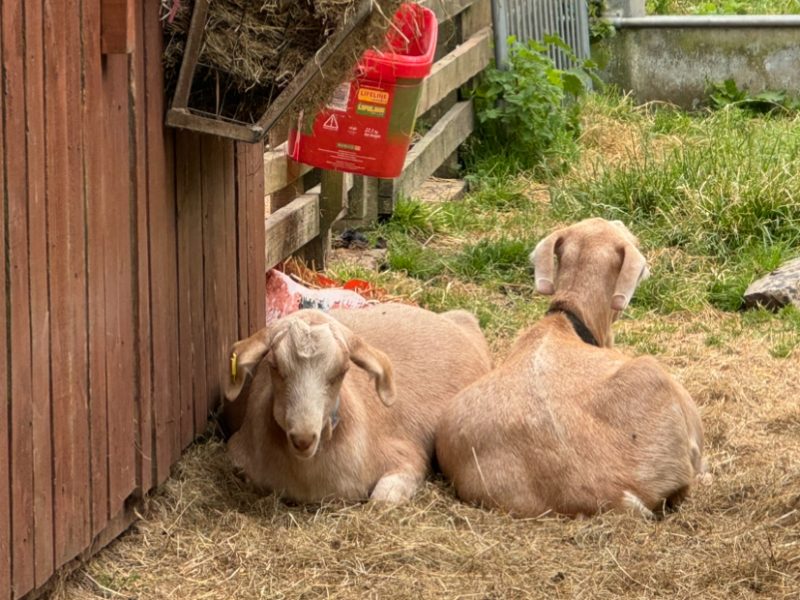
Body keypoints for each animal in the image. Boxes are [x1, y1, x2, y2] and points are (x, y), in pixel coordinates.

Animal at [222, 302, 490, 504]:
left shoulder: (408, 456)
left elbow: (382, 500)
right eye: (274, 366)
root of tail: (460, 320)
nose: (303, 439)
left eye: (342, 370)